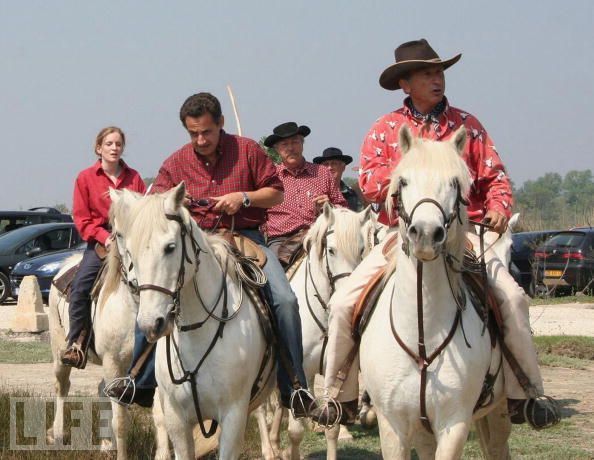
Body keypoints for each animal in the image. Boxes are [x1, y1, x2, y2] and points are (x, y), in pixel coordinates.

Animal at [110, 183, 276, 460]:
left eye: (170, 247)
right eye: (129, 250)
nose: (151, 324)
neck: (198, 334)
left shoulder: (233, 416)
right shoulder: (176, 418)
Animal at [262, 205, 376, 460]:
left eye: (361, 249)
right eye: (331, 250)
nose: (348, 298)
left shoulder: (335, 369)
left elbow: (332, 426)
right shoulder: (300, 370)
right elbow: (295, 431)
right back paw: (269, 448)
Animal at [358, 125, 512, 460]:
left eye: (455, 183)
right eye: (403, 181)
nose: (427, 234)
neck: (422, 337)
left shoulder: (454, 424)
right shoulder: (393, 425)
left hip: (498, 411)